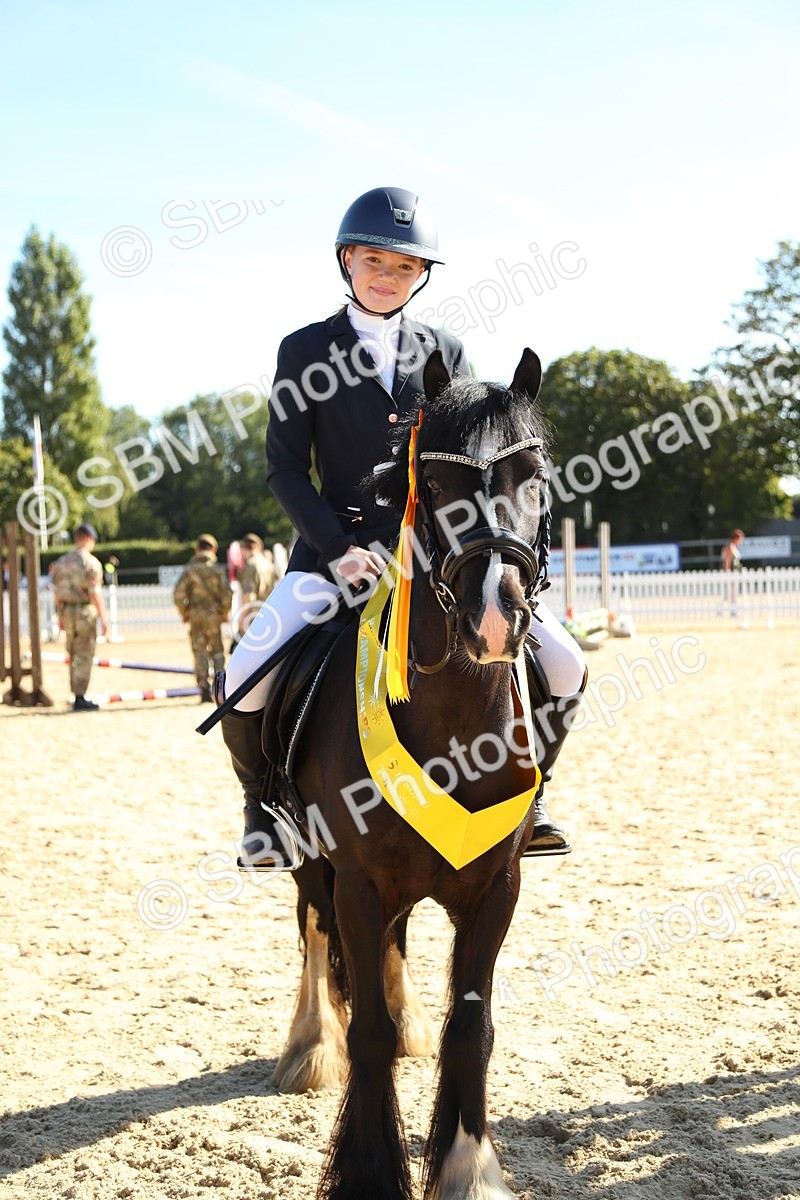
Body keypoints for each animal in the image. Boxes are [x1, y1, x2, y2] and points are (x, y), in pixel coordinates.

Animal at [272, 348, 552, 1200]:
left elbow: (471, 1028)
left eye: (534, 473)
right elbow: (365, 1030)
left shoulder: (496, 887)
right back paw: (308, 1047)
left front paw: (467, 1166)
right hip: (308, 858)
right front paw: (367, 1172)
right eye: (432, 482)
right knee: (314, 933)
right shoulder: (358, 882)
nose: (495, 615)